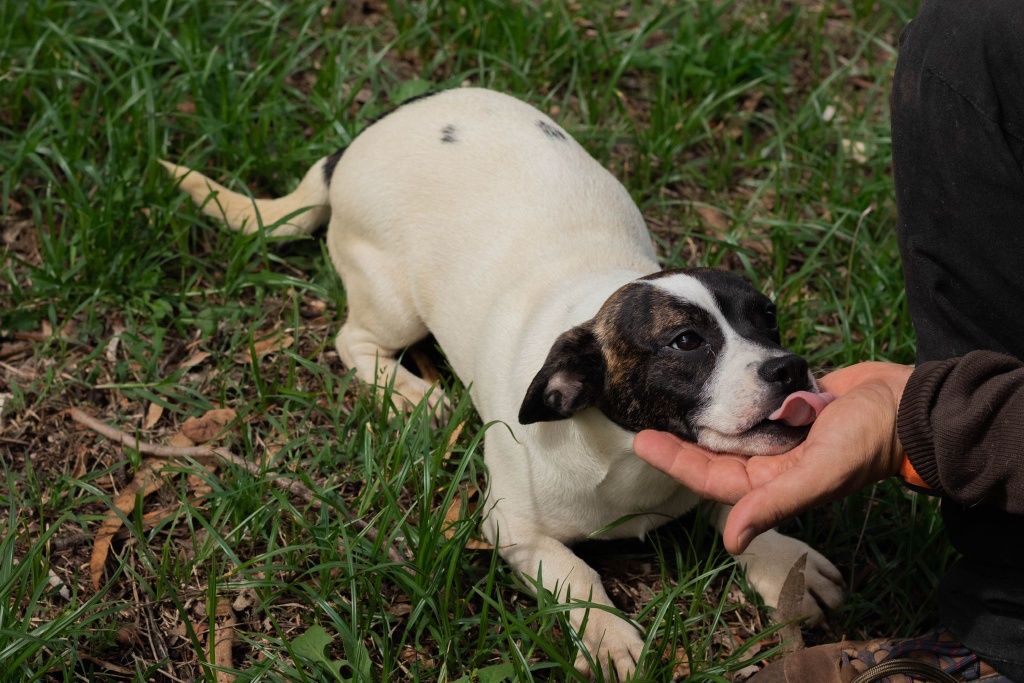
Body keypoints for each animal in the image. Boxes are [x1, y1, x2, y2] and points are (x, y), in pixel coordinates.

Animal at [163, 88, 843, 679]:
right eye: (685, 342)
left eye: (768, 317)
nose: (790, 368)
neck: (623, 456)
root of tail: (353, 146)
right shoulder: (512, 530)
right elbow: (576, 573)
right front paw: (607, 635)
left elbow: (738, 509)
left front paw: (786, 563)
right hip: (392, 300)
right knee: (353, 341)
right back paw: (409, 393)